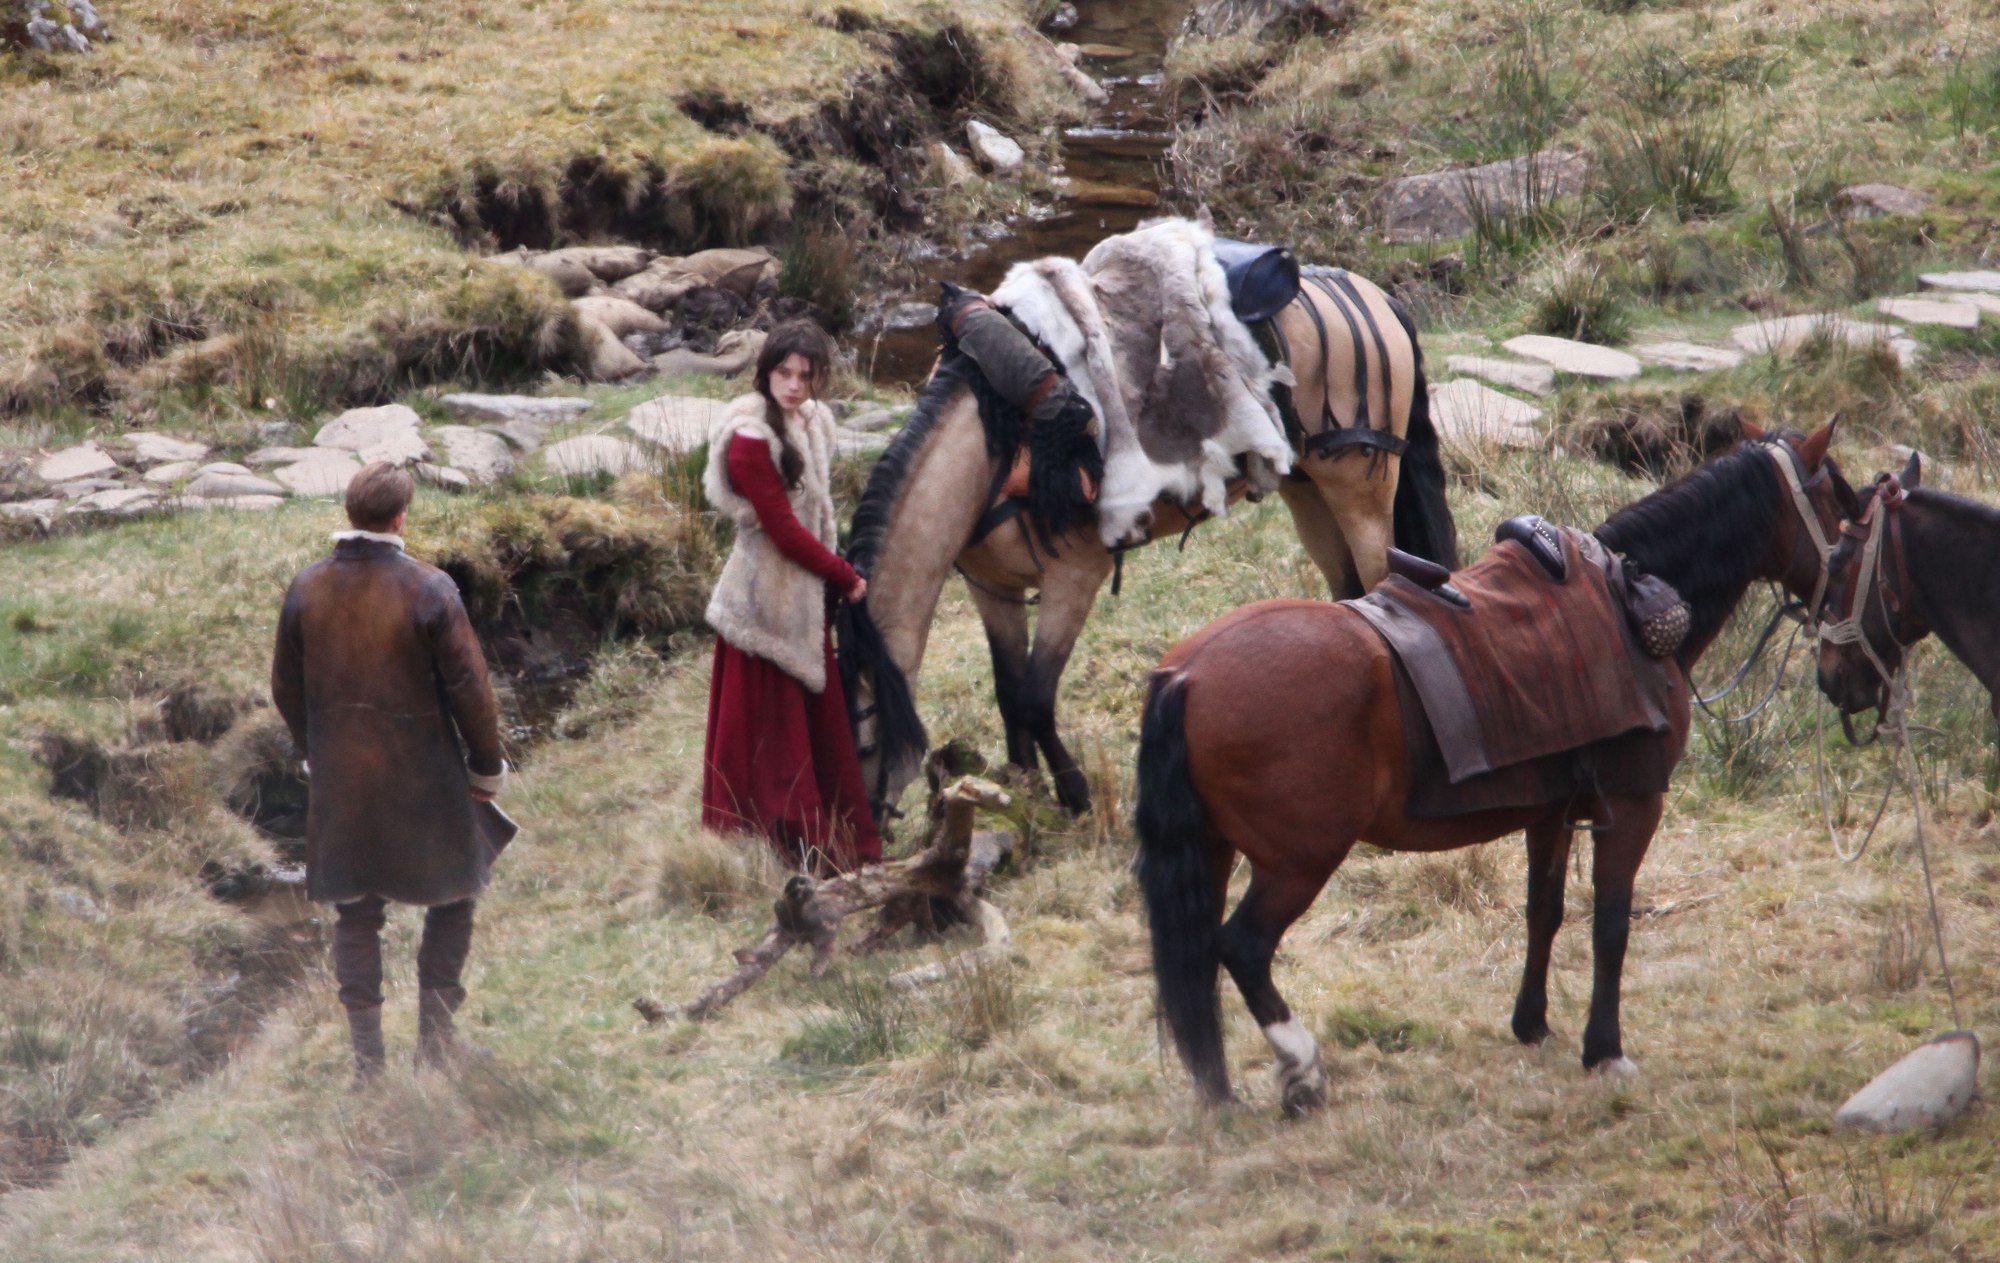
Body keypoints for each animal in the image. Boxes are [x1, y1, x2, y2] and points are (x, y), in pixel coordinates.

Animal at [840, 261, 1456, 823]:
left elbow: (1036, 697)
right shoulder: (993, 588)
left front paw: (1074, 795)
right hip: (1308, 486)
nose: (851, 835)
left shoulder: (1073, 578)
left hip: (1359, 483)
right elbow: (1010, 693)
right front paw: (1022, 790)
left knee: (1382, 586)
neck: (994, 445)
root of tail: (1372, 293)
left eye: (861, 742)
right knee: (1347, 590)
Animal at [1136, 423, 1848, 1111]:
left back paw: (1223, 1090)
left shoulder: (1552, 814)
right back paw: (1302, 1071)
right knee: (1242, 949)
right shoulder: (1634, 807)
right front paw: (1604, 1049)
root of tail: (1187, 674)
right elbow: (1611, 926)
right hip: (1299, 862)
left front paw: (1531, 1024)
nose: (1843, 617)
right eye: (1842, 512)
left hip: (1215, 852)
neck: (1630, 602)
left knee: (1200, 959)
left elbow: (1545, 912)